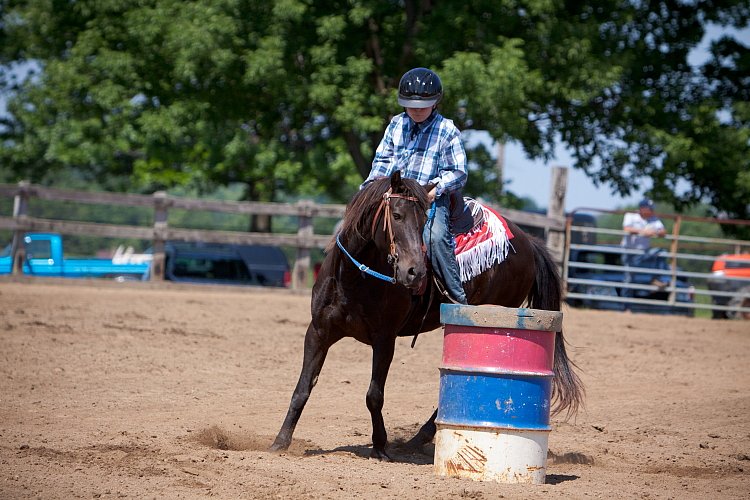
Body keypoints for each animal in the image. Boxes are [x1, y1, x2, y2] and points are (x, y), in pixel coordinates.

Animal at [272, 171, 588, 460]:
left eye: (425, 220)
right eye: (396, 215)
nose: (415, 272)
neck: (354, 278)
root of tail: (527, 241)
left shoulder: (384, 340)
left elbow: (374, 395)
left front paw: (380, 447)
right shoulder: (318, 332)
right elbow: (302, 388)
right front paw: (280, 442)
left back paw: (418, 439)